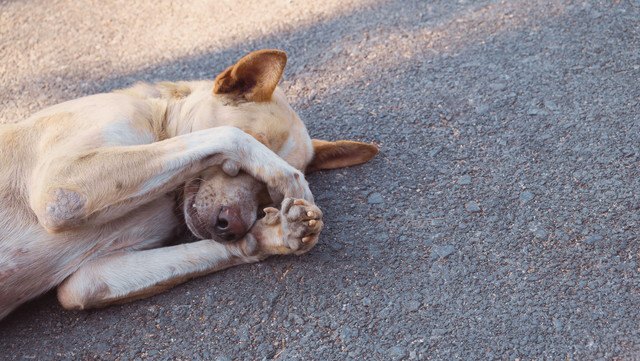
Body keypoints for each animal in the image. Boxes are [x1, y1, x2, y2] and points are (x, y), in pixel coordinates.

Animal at [0, 49, 380, 320]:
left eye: (265, 195)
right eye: (243, 169)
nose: (234, 226)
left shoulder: (88, 281)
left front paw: (278, 233)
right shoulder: (61, 187)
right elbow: (229, 134)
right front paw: (288, 177)